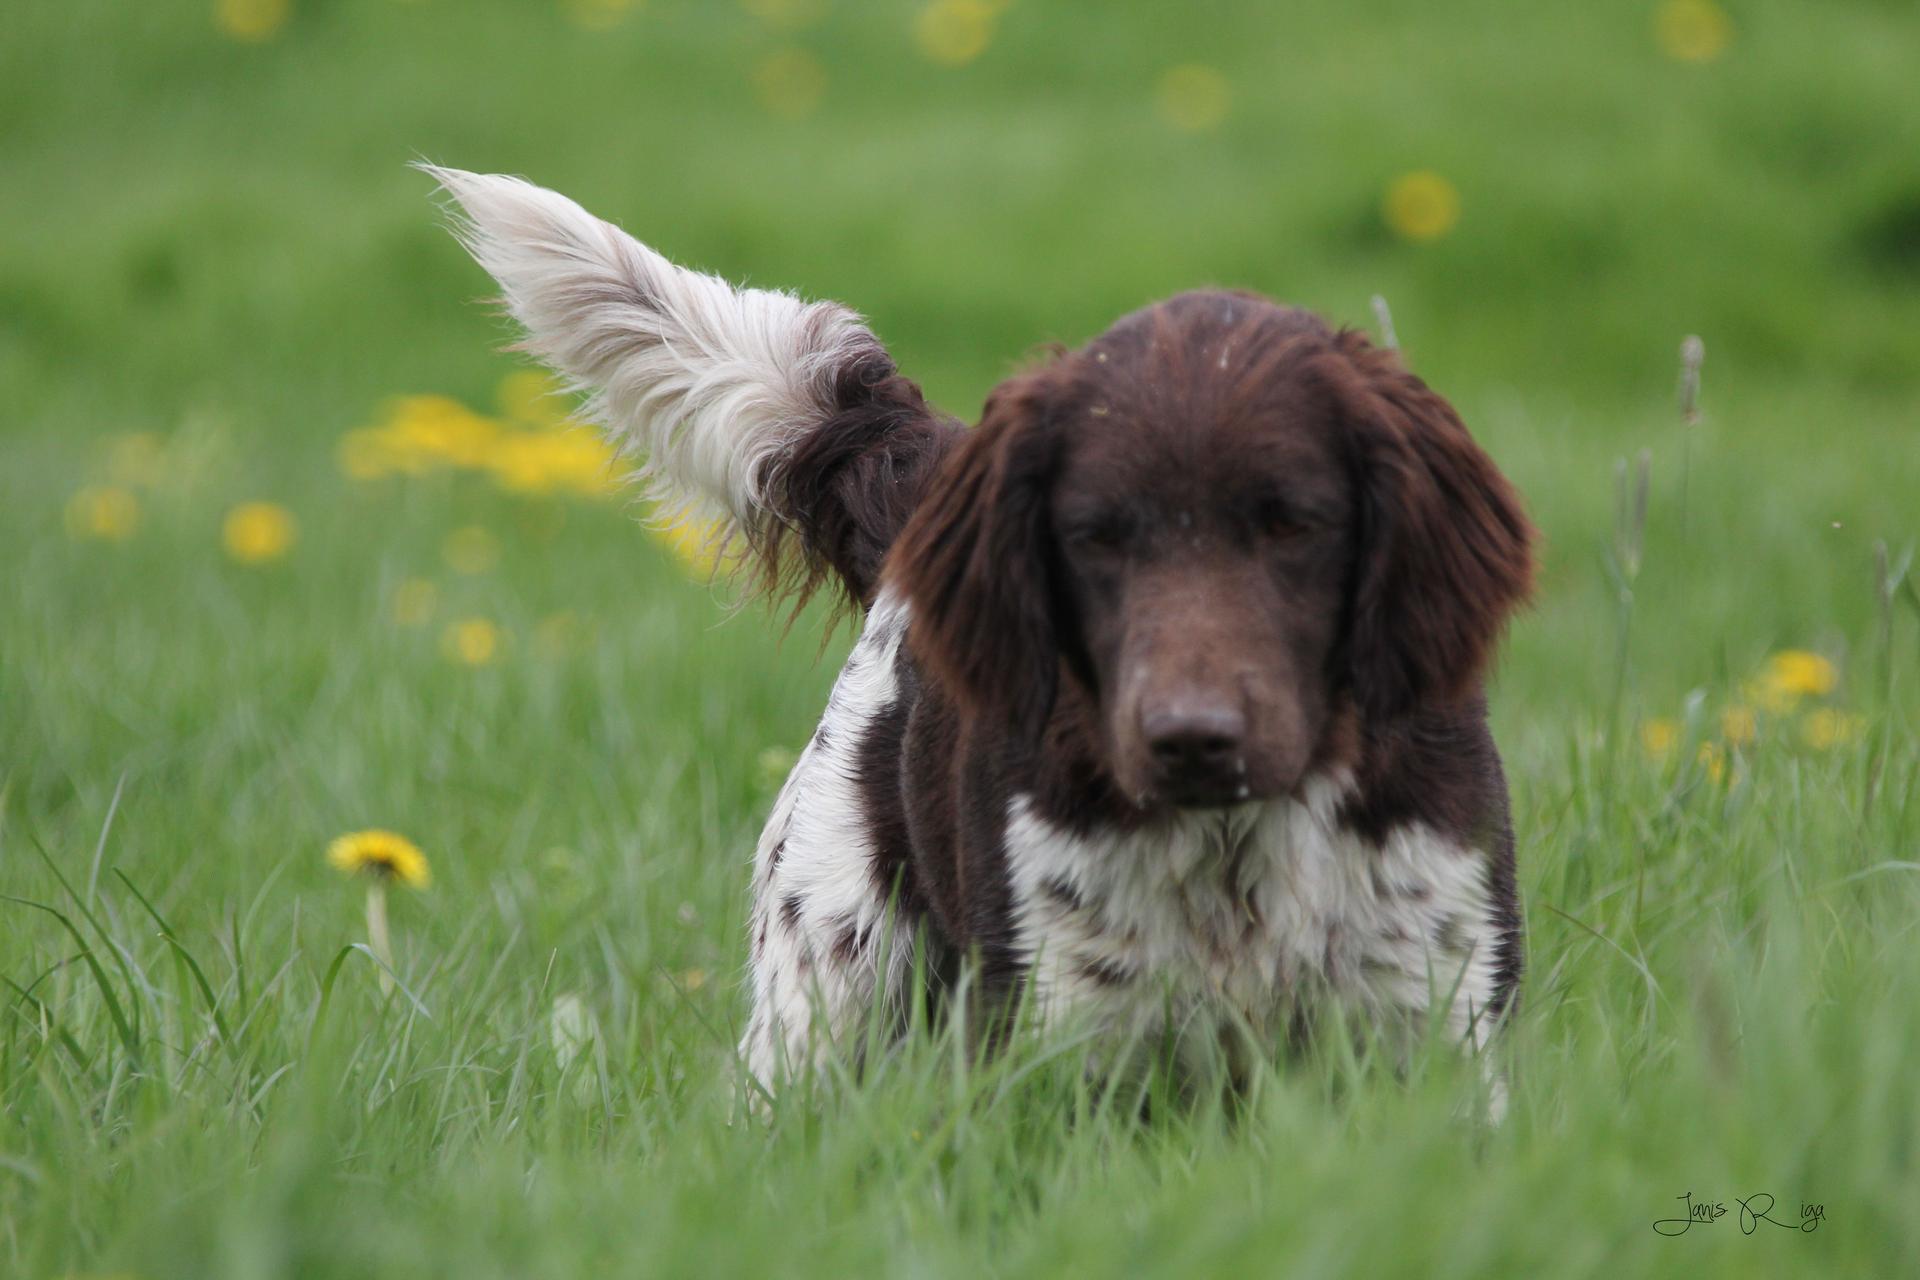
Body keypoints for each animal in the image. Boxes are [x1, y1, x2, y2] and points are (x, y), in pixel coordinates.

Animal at [428, 167, 1536, 1113]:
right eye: (1094, 536)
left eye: (1295, 524)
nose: (1190, 736)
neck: (1234, 844)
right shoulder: (1066, 1045)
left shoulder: (1439, 1022)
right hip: (825, 996)